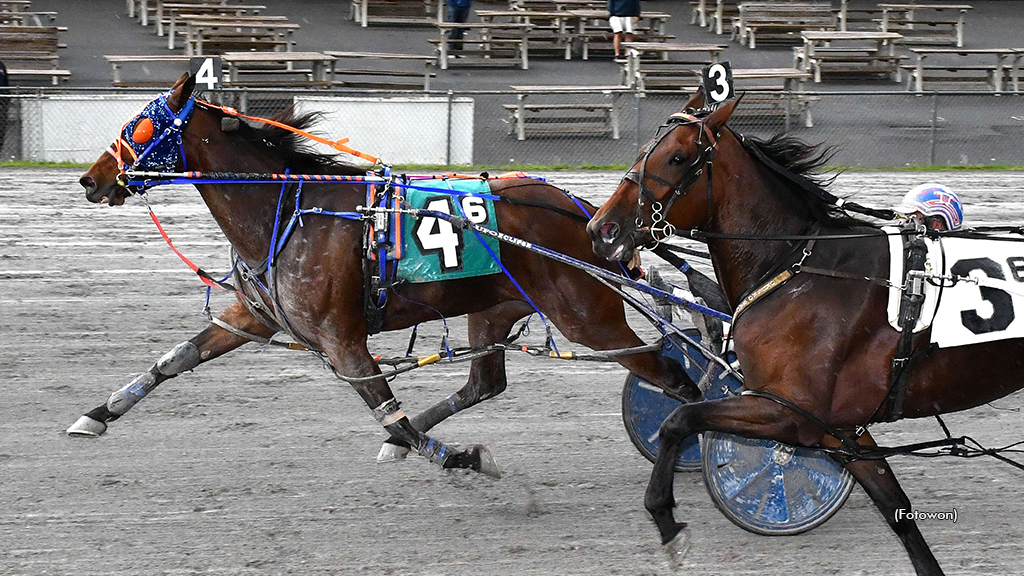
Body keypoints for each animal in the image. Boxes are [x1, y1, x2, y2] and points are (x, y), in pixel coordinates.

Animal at [68, 71, 700, 475]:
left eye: (140, 127)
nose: (91, 178)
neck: (288, 212)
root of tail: (584, 210)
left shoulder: (341, 339)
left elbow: (387, 410)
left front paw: (463, 457)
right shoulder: (255, 315)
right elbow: (176, 358)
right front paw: (95, 416)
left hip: (586, 315)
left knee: (671, 373)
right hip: (495, 307)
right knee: (484, 382)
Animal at [585, 89, 1024, 573]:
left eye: (678, 157)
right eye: (645, 150)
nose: (602, 228)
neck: (795, 265)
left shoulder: (788, 413)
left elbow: (678, 420)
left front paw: (665, 515)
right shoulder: (838, 427)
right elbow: (897, 510)